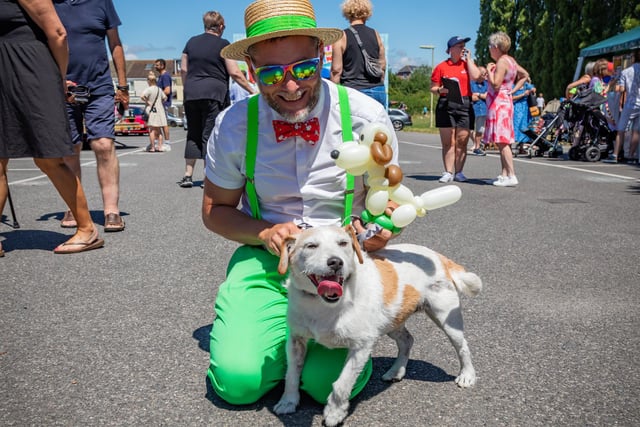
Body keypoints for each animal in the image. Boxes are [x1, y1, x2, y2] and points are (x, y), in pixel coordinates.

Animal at [272, 226, 482, 426]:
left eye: (343, 243)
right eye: (311, 246)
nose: (336, 262)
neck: (322, 304)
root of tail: (437, 256)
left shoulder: (361, 346)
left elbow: (342, 384)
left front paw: (334, 413)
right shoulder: (295, 341)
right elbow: (291, 374)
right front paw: (288, 402)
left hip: (446, 318)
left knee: (462, 346)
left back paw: (467, 375)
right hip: (391, 321)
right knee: (407, 340)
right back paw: (396, 370)